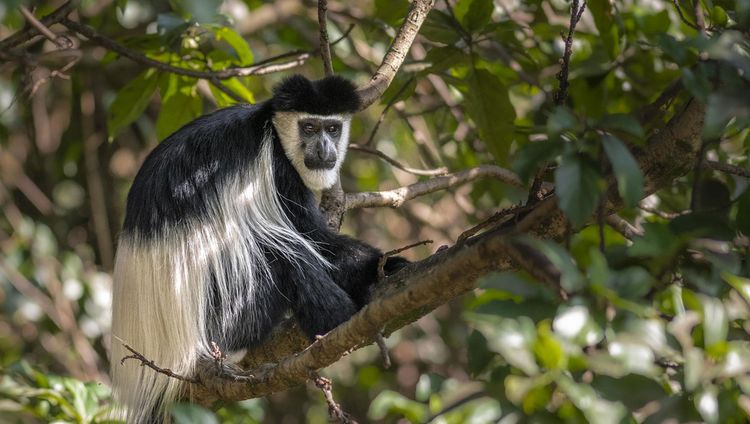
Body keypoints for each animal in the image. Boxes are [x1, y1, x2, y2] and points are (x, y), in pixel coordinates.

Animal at [109, 74, 408, 422]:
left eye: (333, 128)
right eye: (308, 127)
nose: (324, 148)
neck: (270, 127)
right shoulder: (278, 168)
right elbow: (313, 238)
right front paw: (382, 269)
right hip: (226, 317)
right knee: (283, 255)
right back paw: (335, 320)